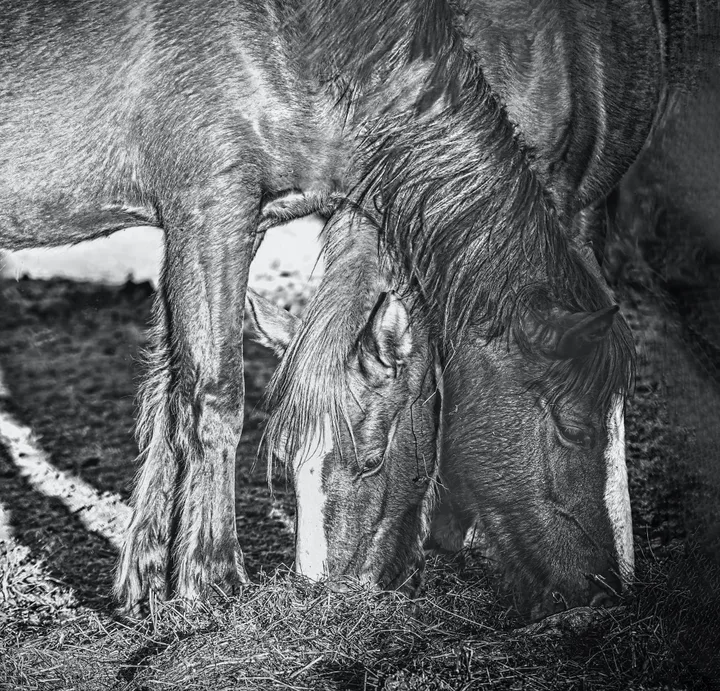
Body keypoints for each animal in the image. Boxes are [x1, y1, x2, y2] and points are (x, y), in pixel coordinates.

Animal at [1, 0, 708, 616]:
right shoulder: (210, 212)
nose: (604, 586)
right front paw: (210, 584)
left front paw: (147, 586)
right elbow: (213, 397)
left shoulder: (207, 228)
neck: (289, 38)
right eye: (573, 427)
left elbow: (168, 390)